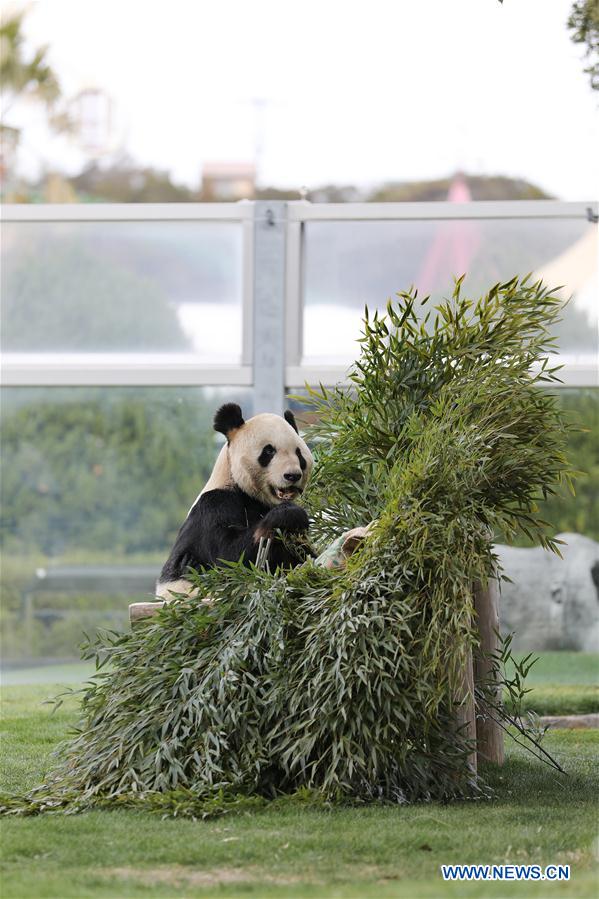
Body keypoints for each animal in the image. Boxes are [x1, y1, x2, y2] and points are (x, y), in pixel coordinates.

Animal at [156, 404, 314, 600]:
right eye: (269, 451)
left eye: (299, 454)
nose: (292, 475)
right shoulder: (214, 506)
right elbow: (231, 558)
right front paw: (289, 515)